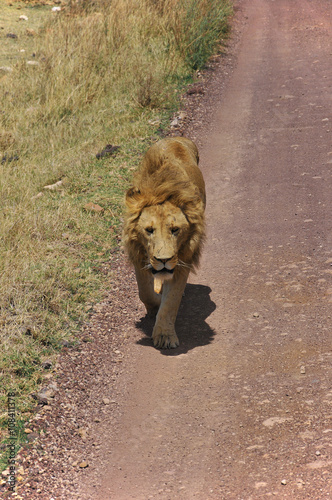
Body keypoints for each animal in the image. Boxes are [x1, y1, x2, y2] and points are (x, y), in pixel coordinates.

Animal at [122, 136, 205, 348]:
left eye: (175, 230)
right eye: (149, 230)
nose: (164, 260)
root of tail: (176, 138)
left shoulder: (183, 259)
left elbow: (171, 301)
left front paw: (165, 335)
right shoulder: (139, 254)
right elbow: (144, 291)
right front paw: (155, 305)